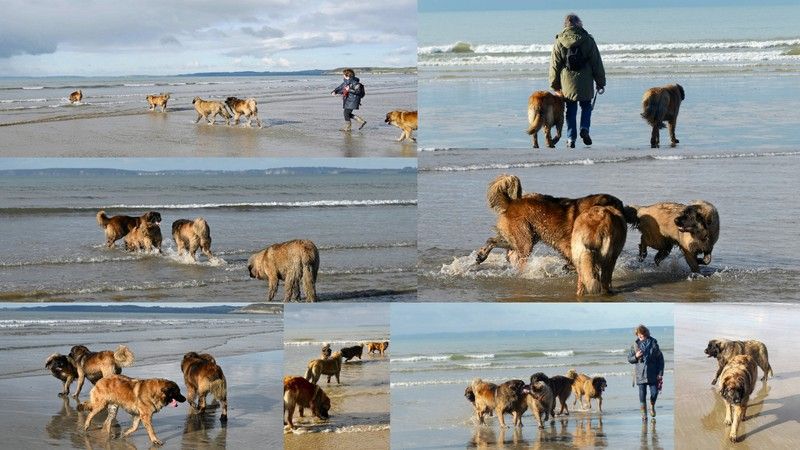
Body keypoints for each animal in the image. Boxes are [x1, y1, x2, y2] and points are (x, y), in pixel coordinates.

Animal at [478, 174, 636, 268]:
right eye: (618, 208)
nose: (630, 215)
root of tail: (511, 203)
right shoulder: (569, 245)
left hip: (525, 237)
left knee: (494, 241)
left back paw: (481, 256)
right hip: (525, 239)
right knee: (515, 253)